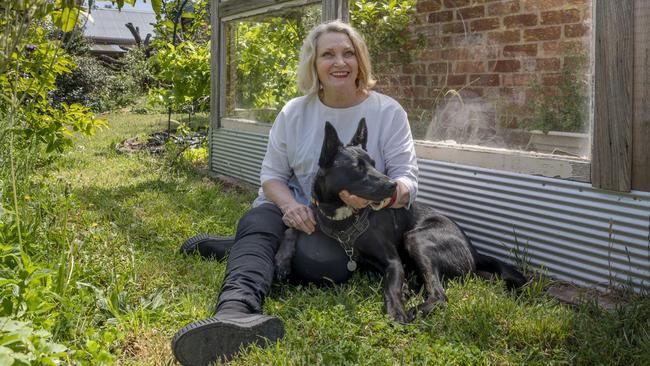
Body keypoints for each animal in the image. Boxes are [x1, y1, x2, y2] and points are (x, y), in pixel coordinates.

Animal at [274, 118, 528, 322]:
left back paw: (417, 307)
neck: (344, 216)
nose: (393, 185)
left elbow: (391, 288)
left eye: (374, 164)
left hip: (417, 238)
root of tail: (473, 249)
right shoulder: (314, 216)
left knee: (439, 294)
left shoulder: (393, 261)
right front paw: (282, 260)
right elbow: (290, 228)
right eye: (357, 168)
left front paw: (396, 311)